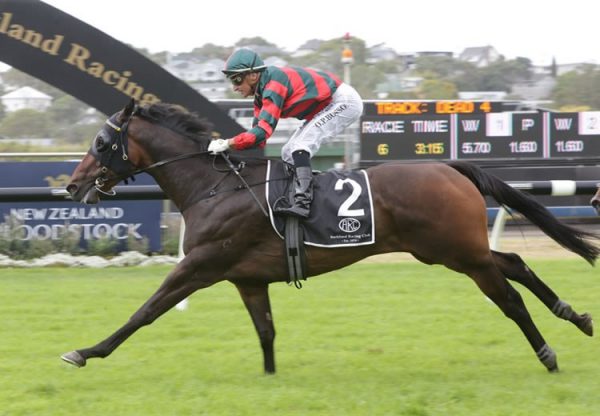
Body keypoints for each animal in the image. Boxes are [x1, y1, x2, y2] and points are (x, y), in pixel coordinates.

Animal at [63, 100, 596, 374]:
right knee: (515, 265)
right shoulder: (247, 279)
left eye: (101, 143)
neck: (212, 187)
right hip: (450, 250)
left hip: (459, 253)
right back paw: (575, 315)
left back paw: (548, 354)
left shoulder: (200, 265)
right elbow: (265, 331)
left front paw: (85, 352)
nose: (72, 185)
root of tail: (450, 165)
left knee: (509, 298)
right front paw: (270, 378)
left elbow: (145, 311)